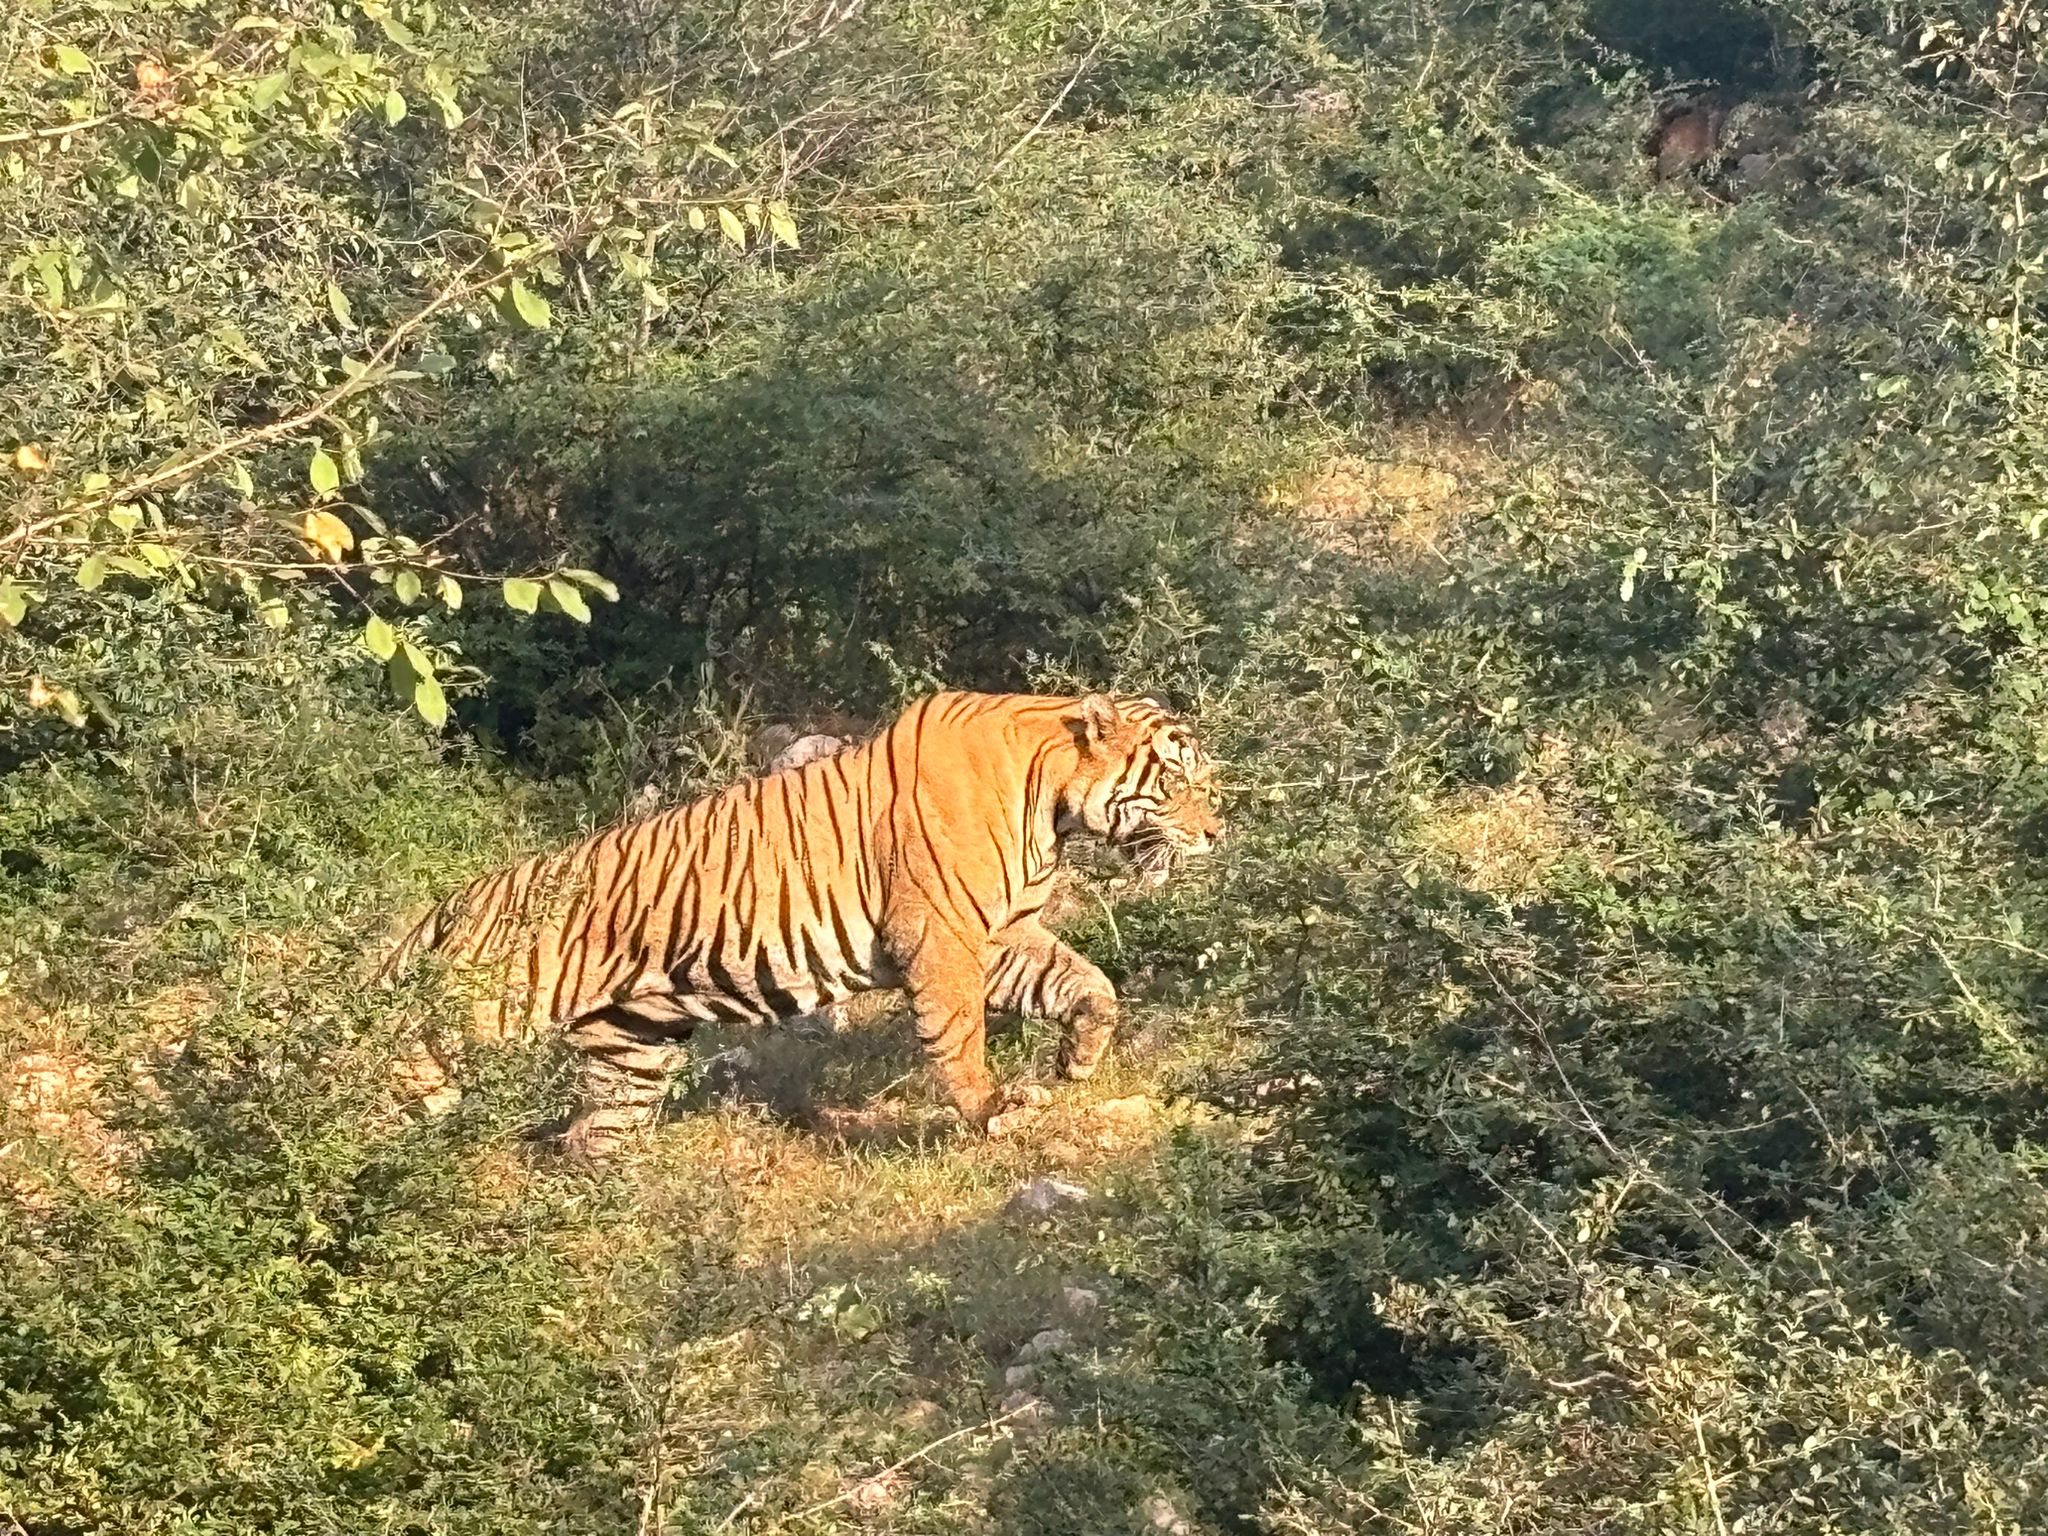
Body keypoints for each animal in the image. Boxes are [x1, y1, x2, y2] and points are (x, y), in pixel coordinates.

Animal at [376, 690, 1224, 1156]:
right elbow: (960, 1037)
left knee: (597, 1137)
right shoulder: (944, 935)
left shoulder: (1000, 933)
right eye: (1176, 781)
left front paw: (1078, 1058)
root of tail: (444, 907)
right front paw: (994, 1109)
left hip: (632, 1044)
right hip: (462, 1033)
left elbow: (1087, 981)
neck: (1052, 804)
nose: (1218, 832)